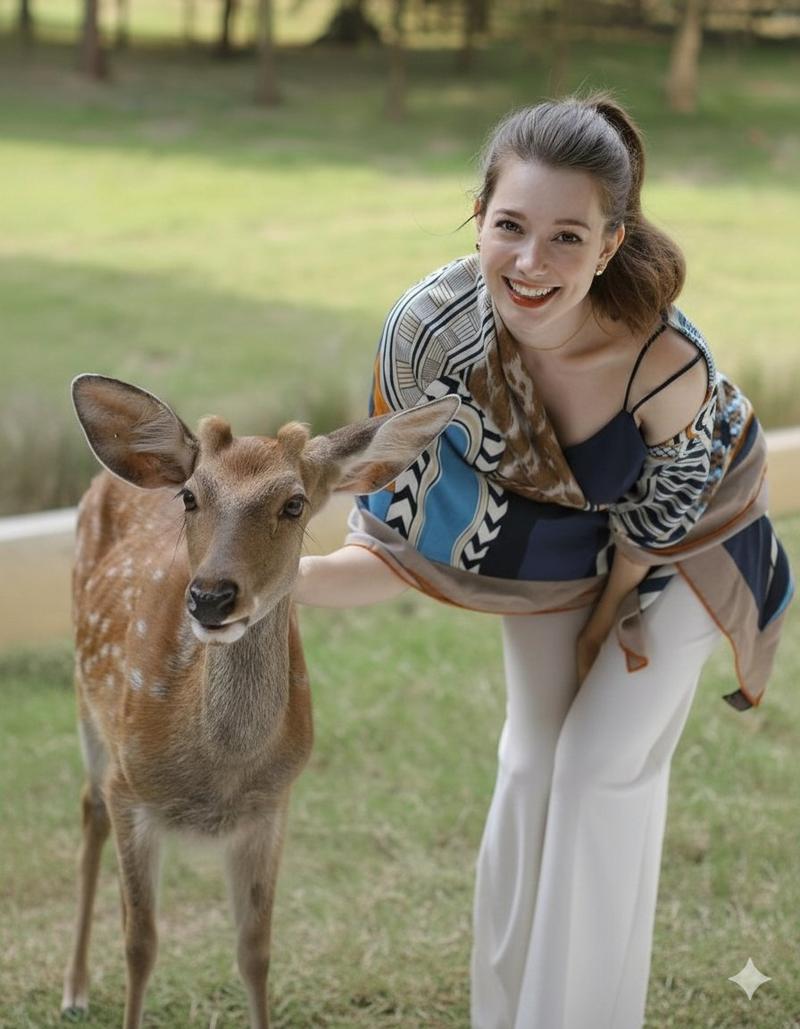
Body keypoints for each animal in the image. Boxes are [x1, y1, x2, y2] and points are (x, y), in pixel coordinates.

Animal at [62, 374, 458, 1029]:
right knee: (88, 809)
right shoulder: (130, 790)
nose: (210, 597)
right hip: (87, 703)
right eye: (191, 497)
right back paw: (73, 990)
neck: (219, 770)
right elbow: (140, 944)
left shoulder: (271, 805)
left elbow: (255, 950)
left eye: (294, 503)